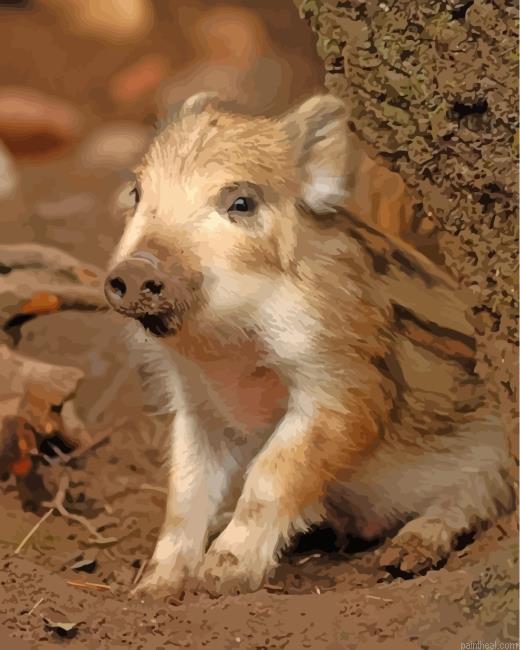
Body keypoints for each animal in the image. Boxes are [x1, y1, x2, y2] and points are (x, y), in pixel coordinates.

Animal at [104, 92, 514, 596]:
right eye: (137, 193)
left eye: (241, 202)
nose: (138, 267)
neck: (224, 348)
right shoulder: (197, 405)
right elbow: (184, 489)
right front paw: (153, 590)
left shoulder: (345, 383)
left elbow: (271, 472)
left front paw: (223, 578)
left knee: (473, 501)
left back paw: (405, 554)